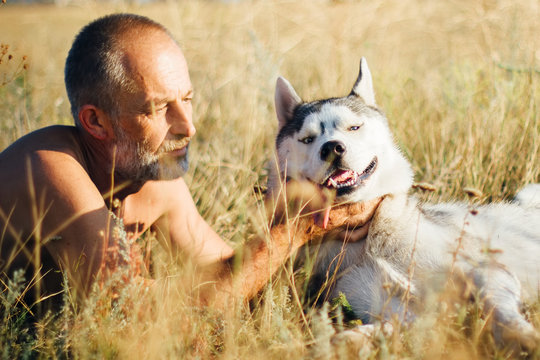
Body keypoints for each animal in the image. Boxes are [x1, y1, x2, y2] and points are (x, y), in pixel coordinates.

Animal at [268, 57, 540, 350]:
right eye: (307, 139)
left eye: (354, 127)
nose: (331, 148)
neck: (366, 240)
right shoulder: (396, 307)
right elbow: (395, 328)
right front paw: (353, 340)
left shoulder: (486, 270)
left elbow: (499, 311)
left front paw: (523, 337)